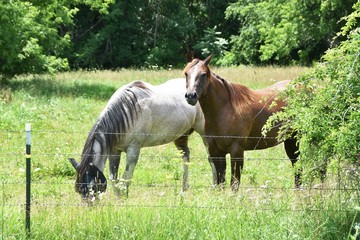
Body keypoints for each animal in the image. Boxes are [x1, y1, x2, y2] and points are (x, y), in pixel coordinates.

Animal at [184, 54, 300, 191]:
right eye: (186, 73)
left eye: (203, 74)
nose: (190, 96)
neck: (225, 110)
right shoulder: (216, 152)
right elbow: (220, 183)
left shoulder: (237, 151)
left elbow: (234, 183)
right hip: (290, 140)